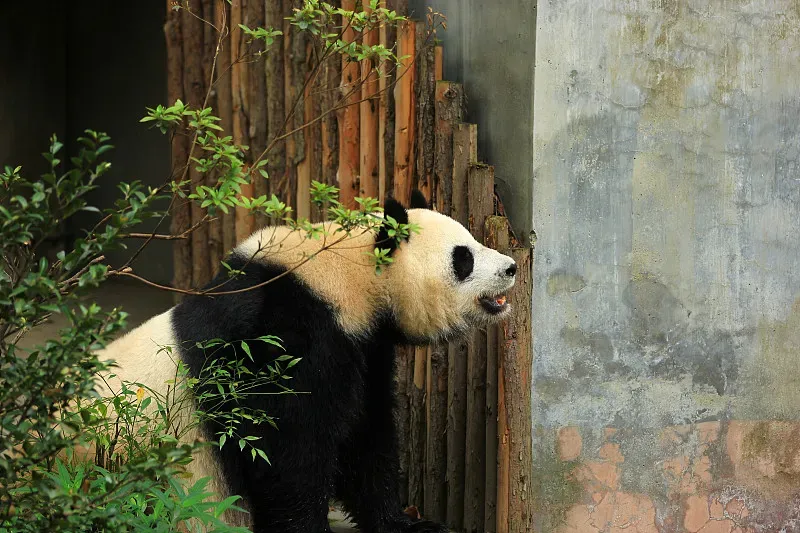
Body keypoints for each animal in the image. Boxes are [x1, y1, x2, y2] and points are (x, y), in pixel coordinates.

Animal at [95, 190, 517, 533]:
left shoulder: (363, 345)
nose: (511, 267)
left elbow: (365, 433)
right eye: (463, 258)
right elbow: (289, 445)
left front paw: (407, 524)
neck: (350, 274)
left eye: (473, 241)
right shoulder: (284, 334)